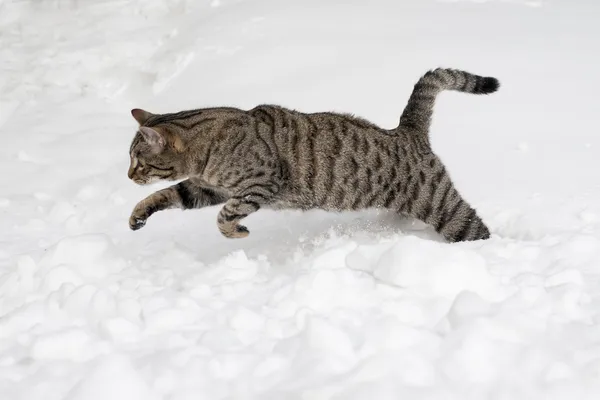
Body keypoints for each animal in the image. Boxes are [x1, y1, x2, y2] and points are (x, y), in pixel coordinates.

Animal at [129, 68, 500, 241]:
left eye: (138, 162)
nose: (129, 175)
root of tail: (407, 129)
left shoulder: (258, 185)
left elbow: (223, 218)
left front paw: (236, 232)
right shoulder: (208, 188)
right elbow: (167, 194)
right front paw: (137, 214)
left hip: (443, 207)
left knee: (476, 230)